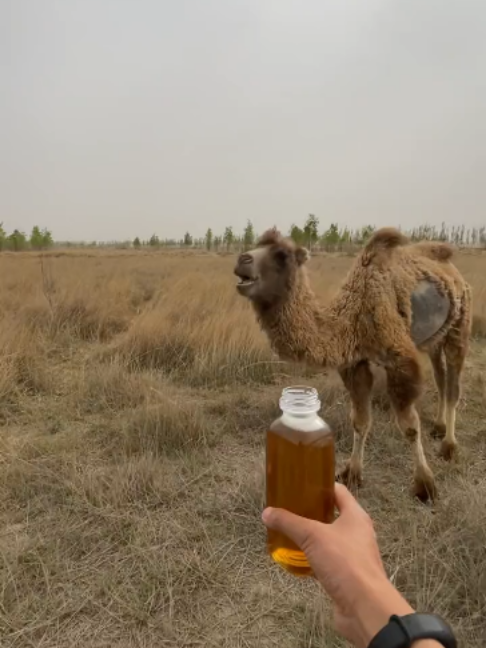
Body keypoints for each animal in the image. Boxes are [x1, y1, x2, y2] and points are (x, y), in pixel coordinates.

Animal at [233, 227, 472, 501]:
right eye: (257, 244)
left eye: (282, 255)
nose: (242, 259)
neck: (354, 319)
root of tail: (453, 270)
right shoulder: (355, 364)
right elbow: (360, 420)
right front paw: (352, 474)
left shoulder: (399, 361)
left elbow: (410, 426)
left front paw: (425, 485)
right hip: (434, 337)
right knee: (441, 376)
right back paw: (439, 427)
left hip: (460, 324)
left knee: (453, 385)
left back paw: (449, 446)